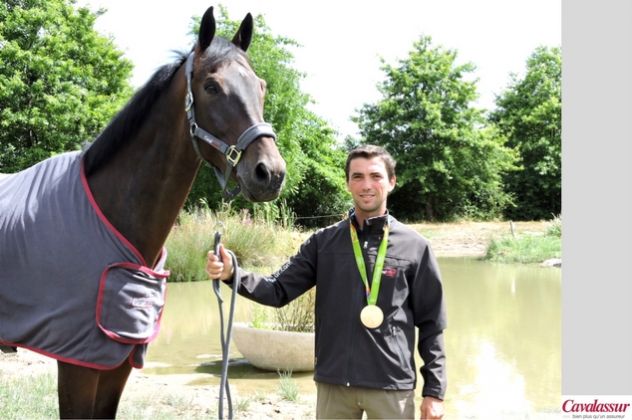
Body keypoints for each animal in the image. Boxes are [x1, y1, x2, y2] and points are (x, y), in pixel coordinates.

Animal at [0, 7, 286, 420]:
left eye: (260, 86)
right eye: (212, 87)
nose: (270, 173)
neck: (112, 211)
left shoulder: (118, 360)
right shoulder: (78, 363)